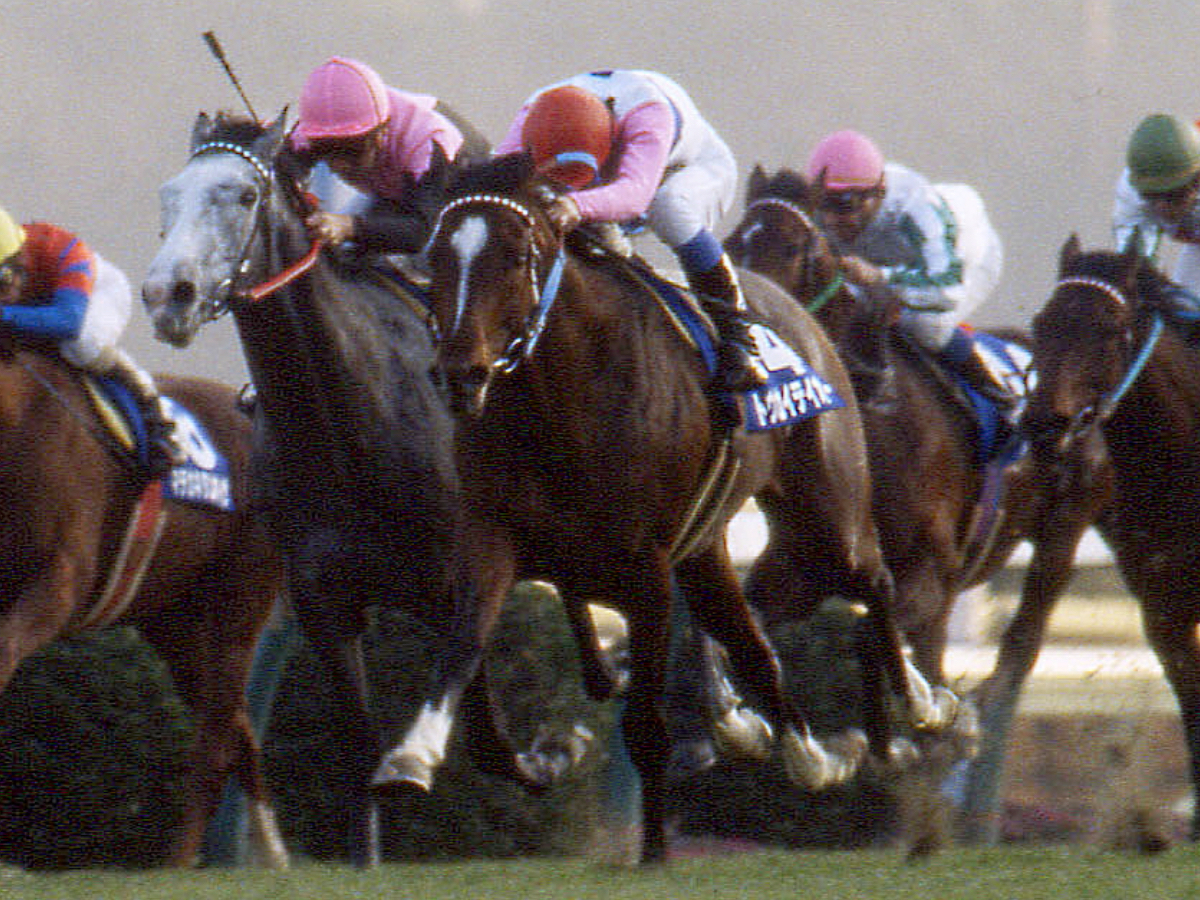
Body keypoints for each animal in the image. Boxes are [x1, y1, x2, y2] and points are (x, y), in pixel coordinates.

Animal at [0, 336, 285, 868]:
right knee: (239, 729)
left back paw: (181, 861)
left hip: (241, 598)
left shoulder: (63, 582)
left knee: (216, 742)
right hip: (176, 626)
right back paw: (269, 852)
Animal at [393, 154, 955, 868]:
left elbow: (645, 724)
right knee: (752, 644)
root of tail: (799, 313)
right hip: (708, 549)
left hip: (827, 515)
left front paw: (656, 851)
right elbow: (463, 650)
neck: (559, 399)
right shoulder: (493, 538)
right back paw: (803, 752)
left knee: (873, 582)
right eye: (435, 254)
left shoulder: (647, 572)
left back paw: (918, 705)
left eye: (515, 255)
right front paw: (414, 757)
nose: (460, 374)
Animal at [720, 165, 1113, 844]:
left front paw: (901, 735)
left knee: (1023, 638)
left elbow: (866, 640)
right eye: (733, 244)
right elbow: (749, 636)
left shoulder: (927, 575)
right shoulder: (800, 572)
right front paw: (747, 726)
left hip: (1061, 535)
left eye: (793, 248)